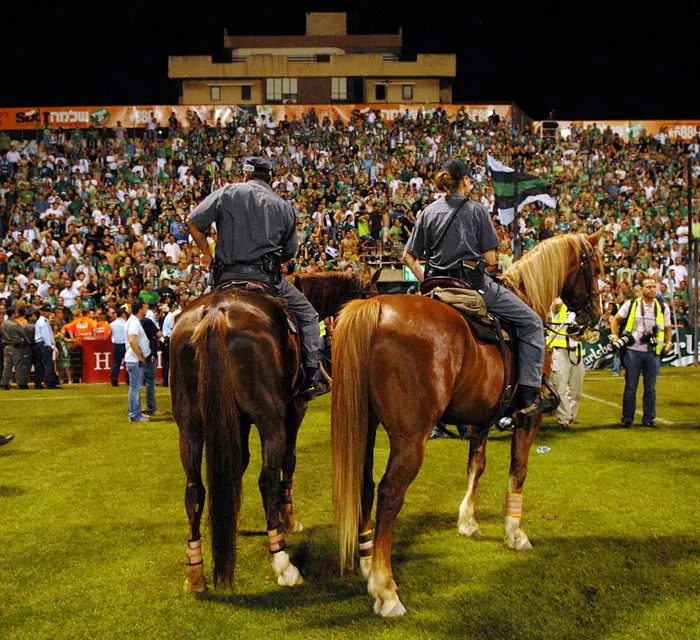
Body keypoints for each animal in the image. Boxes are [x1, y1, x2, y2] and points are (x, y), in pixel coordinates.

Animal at [330, 230, 604, 616]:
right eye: (595, 267)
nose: (594, 317)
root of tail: (378, 308)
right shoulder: (528, 416)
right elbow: (518, 470)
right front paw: (515, 533)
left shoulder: (480, 419)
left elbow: (477, 465)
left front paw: (468, 522)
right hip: (410, 439)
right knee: (389, 494)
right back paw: (385, 589)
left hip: (365, 428)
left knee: (365, 486)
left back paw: (369, 563)